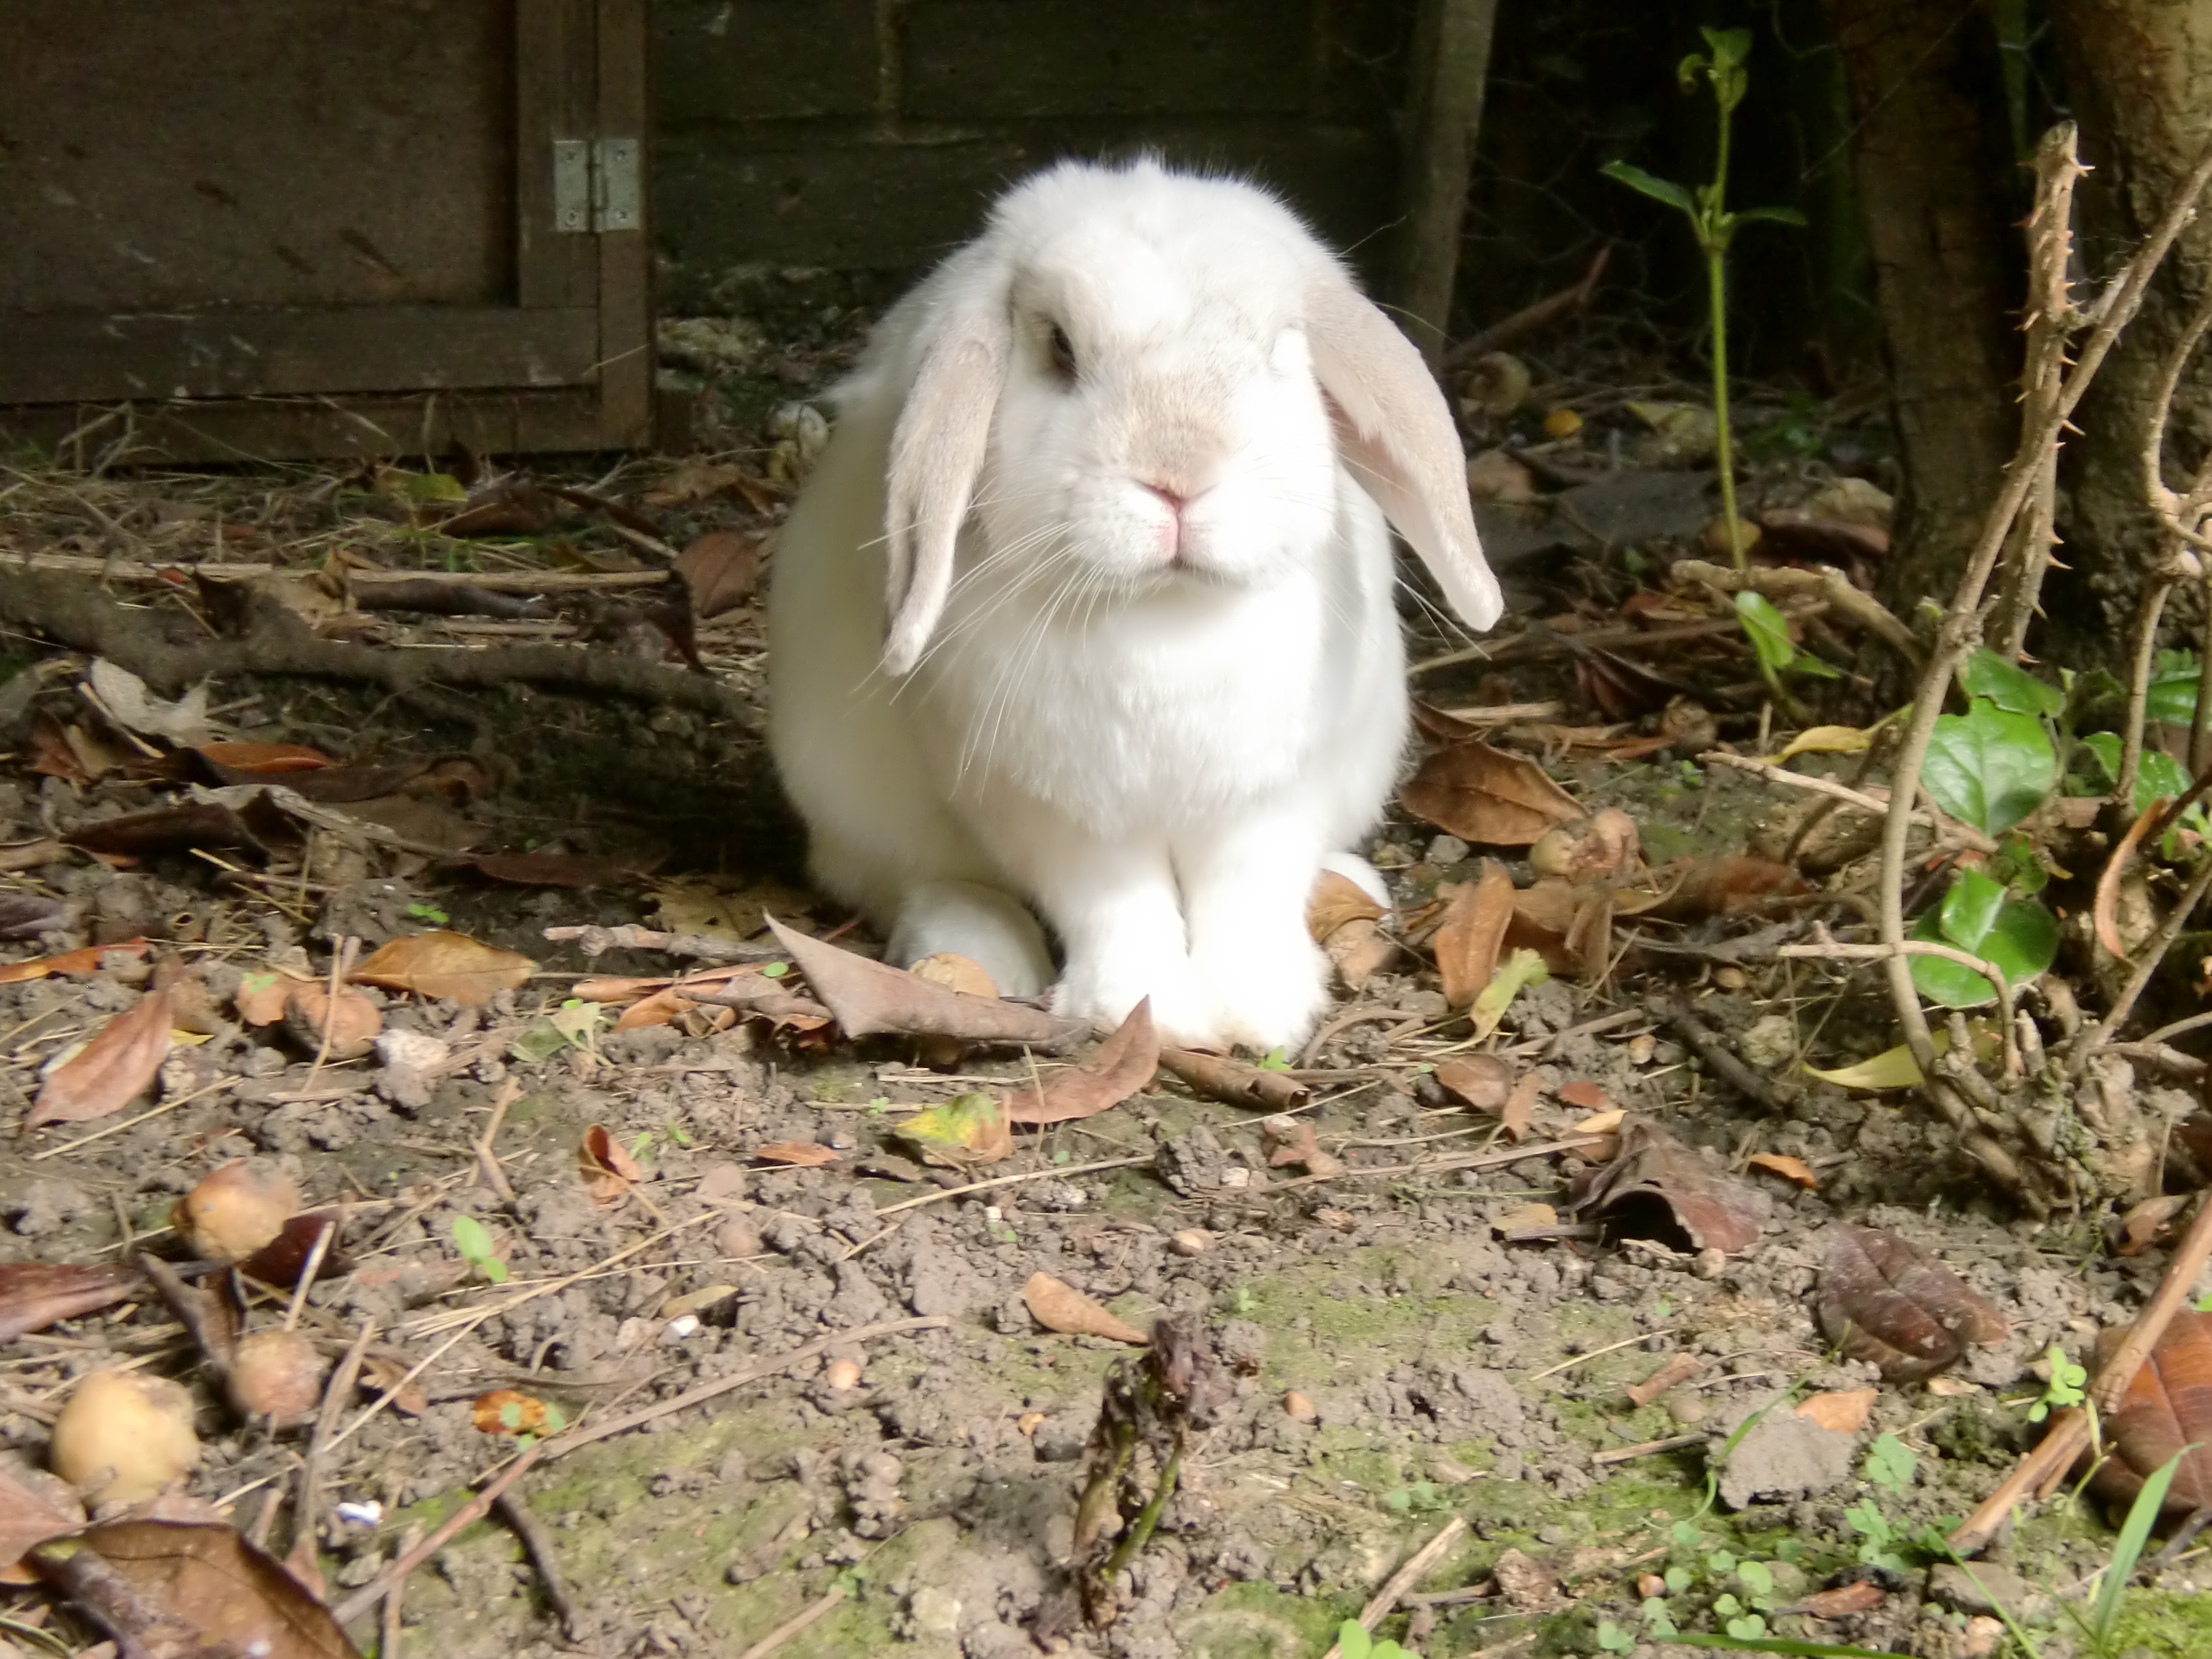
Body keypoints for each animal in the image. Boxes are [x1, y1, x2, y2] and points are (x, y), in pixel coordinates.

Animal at [768, 156, 1502, 1052]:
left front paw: (1259, 1011)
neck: (1169, 613)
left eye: (1277, 350)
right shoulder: (1060, 813)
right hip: (858, 804)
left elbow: (1246, 893)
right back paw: (984, 950)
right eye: (1060, 348)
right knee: (919, 881)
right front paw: (1142, 1010)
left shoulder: (1268, 797)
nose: (1179, 476)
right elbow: (1115, 906)